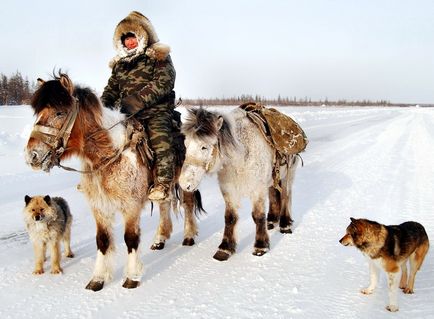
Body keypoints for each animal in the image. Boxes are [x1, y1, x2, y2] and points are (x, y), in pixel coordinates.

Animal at [25, 74, 203, 292]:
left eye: (60, 112)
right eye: (39, 113)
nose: (32, 155)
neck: (110, 155)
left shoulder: (131, 207)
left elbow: (131, 239)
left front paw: (132, 277)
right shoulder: (99, 207)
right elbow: (102, 241)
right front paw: (98, 279)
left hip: (186, 181)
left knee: (188, 204)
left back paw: (189, 236)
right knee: (164, 204)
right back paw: (159, 240)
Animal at [177, 108, 298, 262]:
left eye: (204, 147)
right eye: (186, 144)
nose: (184, 183)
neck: (240, 156)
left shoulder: (257, 190)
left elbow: (258, 216)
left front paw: (260, 246)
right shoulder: (229, 191)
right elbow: (230, 218)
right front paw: (225, 248)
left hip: (288, 174)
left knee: (285, 196)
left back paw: (285, 224)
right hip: (272, 179)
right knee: (273, 195)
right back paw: (271, 221)